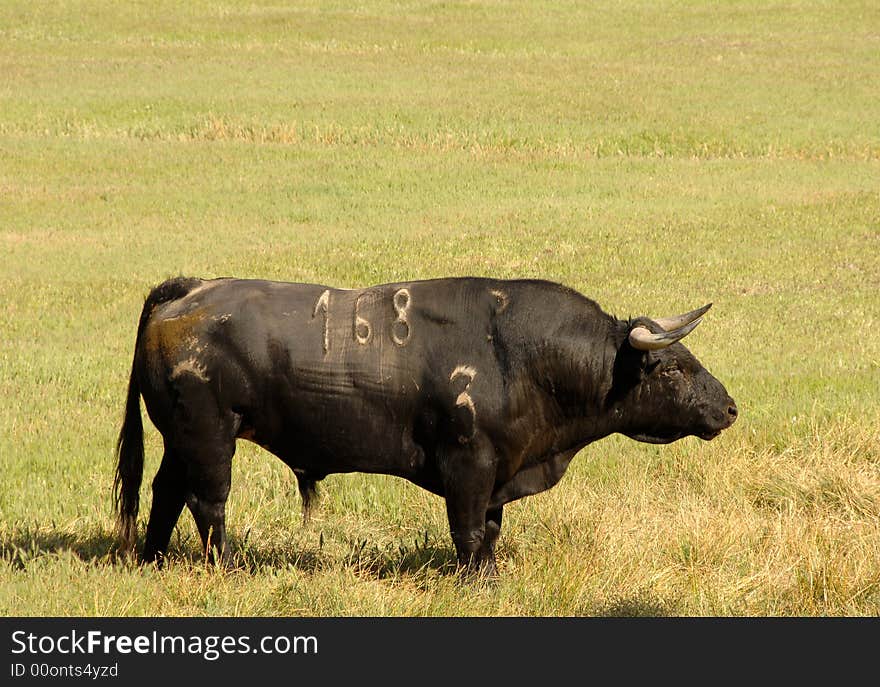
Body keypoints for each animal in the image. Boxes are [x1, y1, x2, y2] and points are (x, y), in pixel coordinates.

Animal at [113, 276, 740, 572]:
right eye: (675, 367)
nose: (730, 408)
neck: (520, 355)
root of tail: (189, 290)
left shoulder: (498, 474)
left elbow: (489, 530)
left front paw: (489, 576)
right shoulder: (469, 464)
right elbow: (468, 531)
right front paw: (475, 582)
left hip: (180, 439)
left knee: (166, 492)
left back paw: (152, 558)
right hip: (210, 436)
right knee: (207, 502)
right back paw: (224, 566)